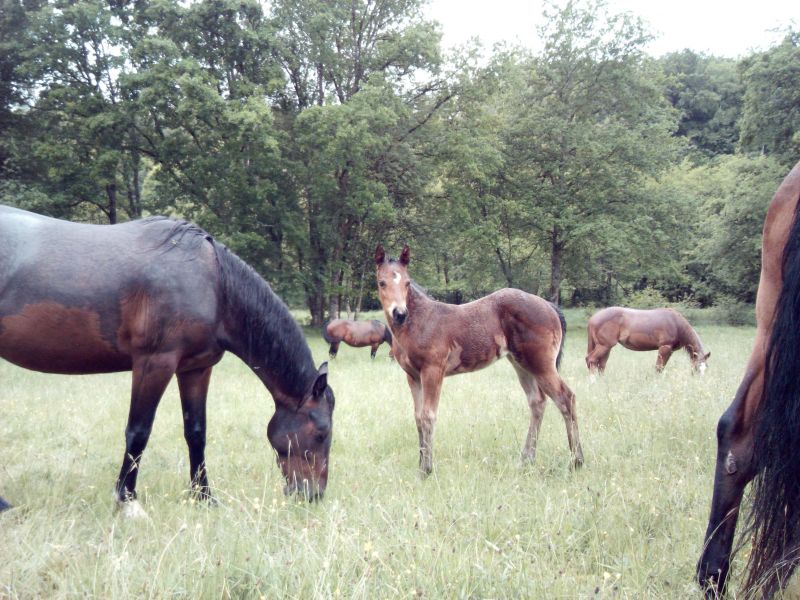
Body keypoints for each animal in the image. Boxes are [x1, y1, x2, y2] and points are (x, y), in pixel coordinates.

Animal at [0, 205, 334, 516]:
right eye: (321, 434)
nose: (313, 495)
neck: (213, 283)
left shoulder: (196, 368)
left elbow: (196, 432)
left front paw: (204, 497)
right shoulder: (154, 363)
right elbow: (138, 432)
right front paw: (128, 502)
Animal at [372, 243, 584, 474]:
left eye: (407, 282)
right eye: (382, 282)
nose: (399, 313)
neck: (419, 321)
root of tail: (549, 306)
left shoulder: (432, 371)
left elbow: (428, 416)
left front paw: (426, 470)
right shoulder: (413, 377)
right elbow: (418, 418)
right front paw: (420, 466)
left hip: (541, 365)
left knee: (566, 398)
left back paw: (576, 461)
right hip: (521, 363)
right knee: (537, 402)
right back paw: (526, 460)